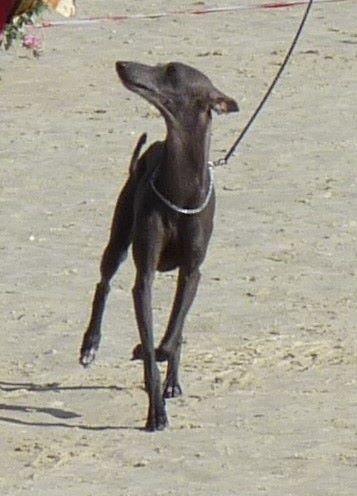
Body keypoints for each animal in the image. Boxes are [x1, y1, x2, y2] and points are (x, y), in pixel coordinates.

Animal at [79, 62, 238, 430]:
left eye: (171, 70)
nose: (121, 64)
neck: (180, 188)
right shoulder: (145, 276)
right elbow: (152, 347)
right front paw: (156, 413)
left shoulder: (192, 272)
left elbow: (171, 335)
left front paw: (163, 369)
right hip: (119, 239)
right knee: (104, 283)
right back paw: (90, 345)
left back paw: (172, 381)